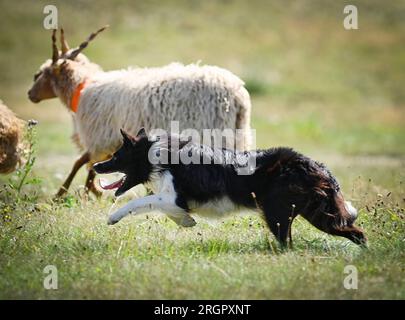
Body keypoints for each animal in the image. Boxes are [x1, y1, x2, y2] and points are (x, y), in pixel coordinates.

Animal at [28, 27, 249, 198]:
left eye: (42, 73)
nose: (30, 94)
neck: (82, 89)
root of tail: (238, 95)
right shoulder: (110, 142)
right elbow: (90, 164)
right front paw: (93, 192)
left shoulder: (100, 138)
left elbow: (82, 163)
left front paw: (67, 193)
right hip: (236, 134)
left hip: (214, 132)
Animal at [93, 129, 364, 246]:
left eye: (116, 156)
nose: (96, 165)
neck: (159, 156)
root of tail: (315, 166)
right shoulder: (172, 200)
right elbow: (162, 208)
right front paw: (186, 221)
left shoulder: (174, 197)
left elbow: (140, 202)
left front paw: (113, 217)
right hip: (314, 212)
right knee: (358, 233)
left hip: (280, 213)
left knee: (289, 243)